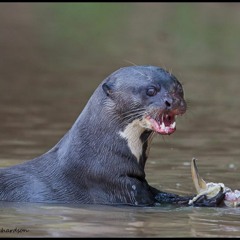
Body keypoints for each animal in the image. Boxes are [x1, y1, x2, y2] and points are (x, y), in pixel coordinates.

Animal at [0, 65, 225, 206]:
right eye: (151, 90)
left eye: (179, 88)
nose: (174, 101)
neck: (95, 157)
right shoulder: (121, 187)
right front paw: (209, 199)